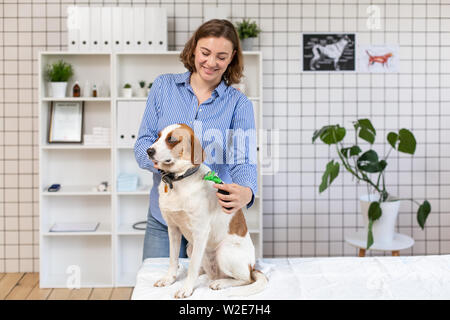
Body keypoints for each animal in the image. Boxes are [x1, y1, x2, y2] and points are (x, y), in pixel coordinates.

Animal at [148, 124, 268, 298]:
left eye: (172, 139)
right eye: (158, 136)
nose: (148, 151)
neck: (180, 180)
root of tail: (252, 267)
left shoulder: (200, 232)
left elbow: (192, 266)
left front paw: (186, 289)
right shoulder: (173, 229)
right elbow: (173, 259)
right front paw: (169, 279)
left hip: (223, 251)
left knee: (246, 279)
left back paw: (221, 283)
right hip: (190, 247)